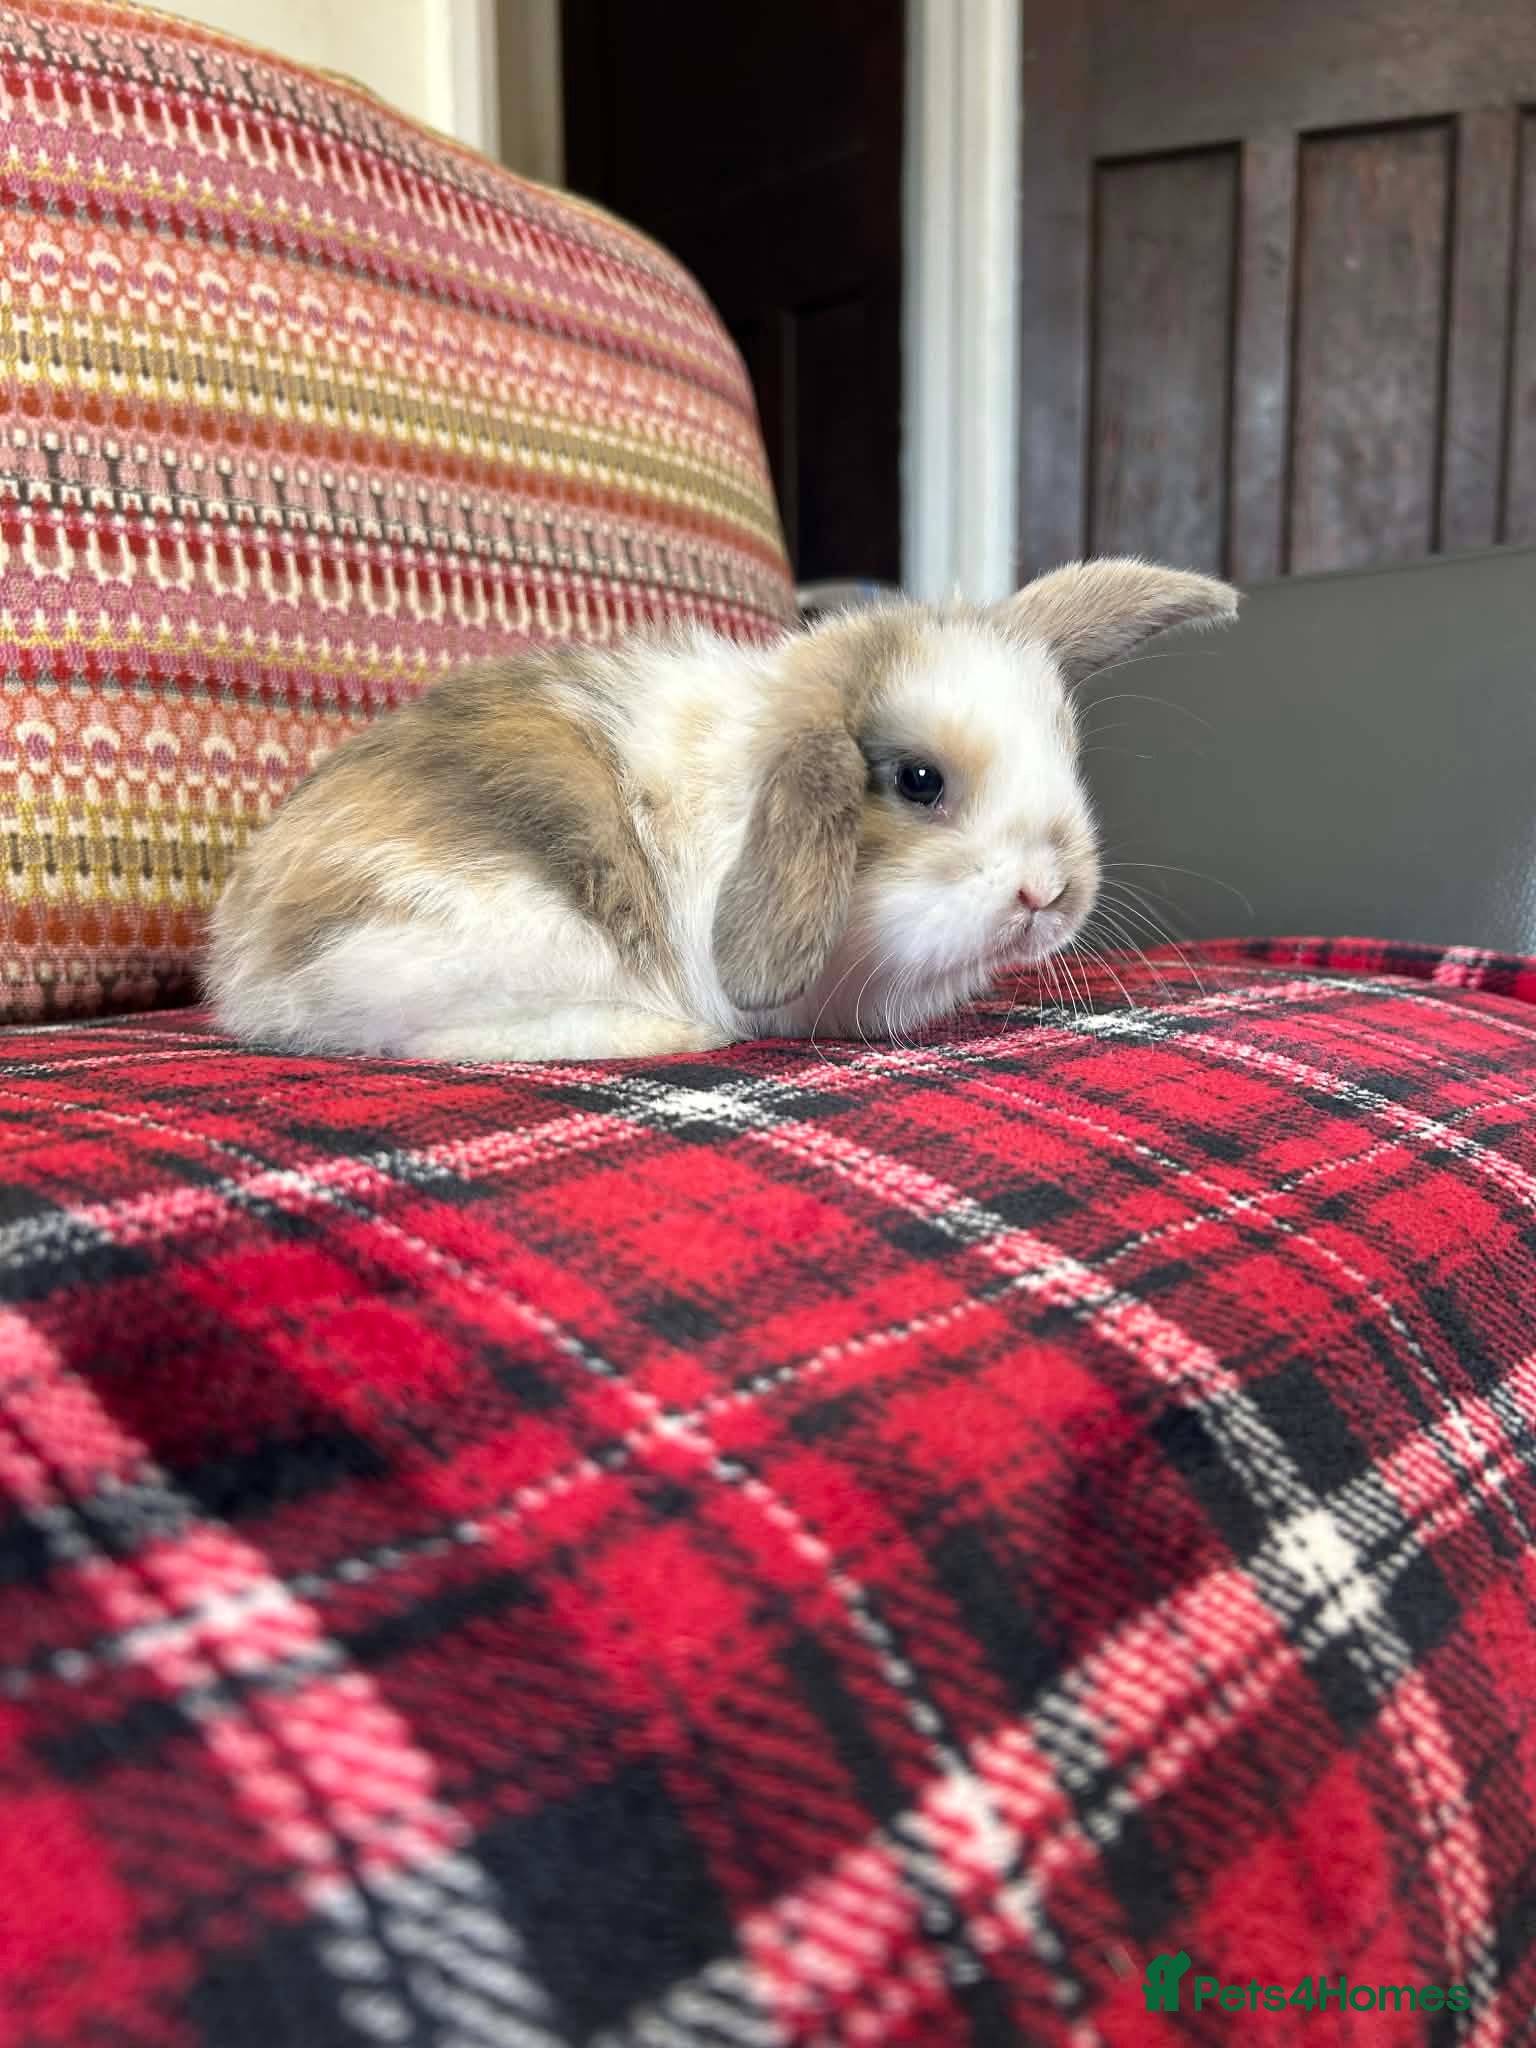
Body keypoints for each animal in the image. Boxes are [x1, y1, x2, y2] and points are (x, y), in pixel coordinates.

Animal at [206, 558, 1238, 1061]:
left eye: (1064, 750)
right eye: (919, 781)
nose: (1050, 895)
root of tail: (244, 971)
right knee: (417, 1038)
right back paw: (675, 1033)